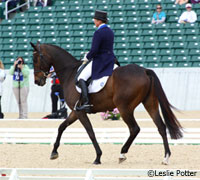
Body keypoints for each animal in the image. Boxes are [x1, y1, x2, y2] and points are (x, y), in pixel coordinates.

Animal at [30, 41, 183, 165]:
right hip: (150, 104)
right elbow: (61, 126)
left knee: (134, 129)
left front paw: (98, 157)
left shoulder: (80, 112)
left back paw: (122, 154)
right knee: (161, 127)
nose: (37, 81)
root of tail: (145, 71)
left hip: (124, 108)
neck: (70, 72)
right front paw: (54, 152)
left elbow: (90, 132)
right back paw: (166, 157)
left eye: (35, 59)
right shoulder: (75, 111)